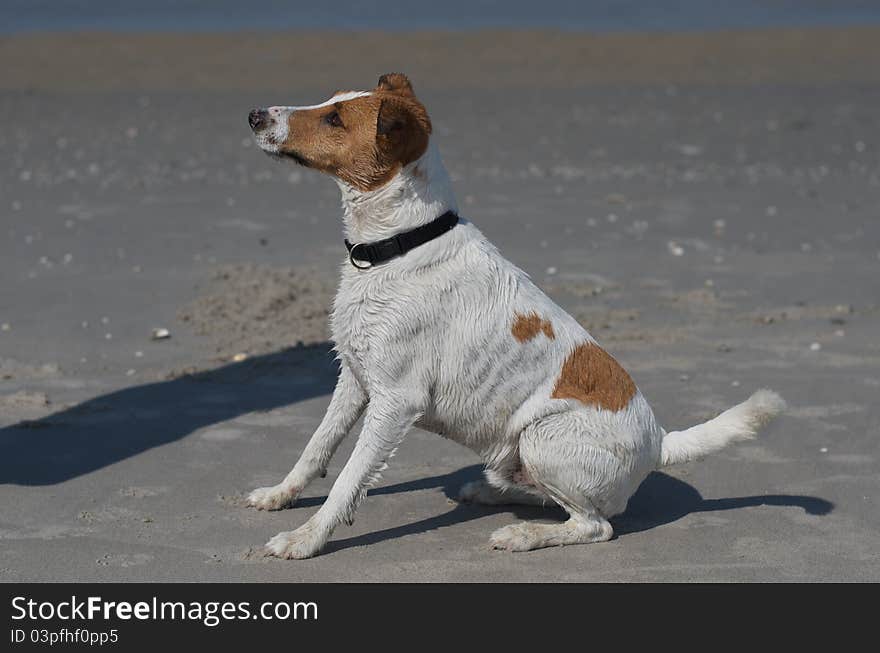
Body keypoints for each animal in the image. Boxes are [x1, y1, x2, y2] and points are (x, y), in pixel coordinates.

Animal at [242, 74, 784, 556]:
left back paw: (523, 534)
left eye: (334, 118)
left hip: (542, 438)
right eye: (328, 101)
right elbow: (316, 448)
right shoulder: (354, 380)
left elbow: (349, 480)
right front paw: (279, 496)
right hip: (519, 451)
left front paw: (306, 540)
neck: (400, 245)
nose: (253, 114)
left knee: (595, 525)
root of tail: (660, 444)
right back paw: (489, 492)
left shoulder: (395, 401)